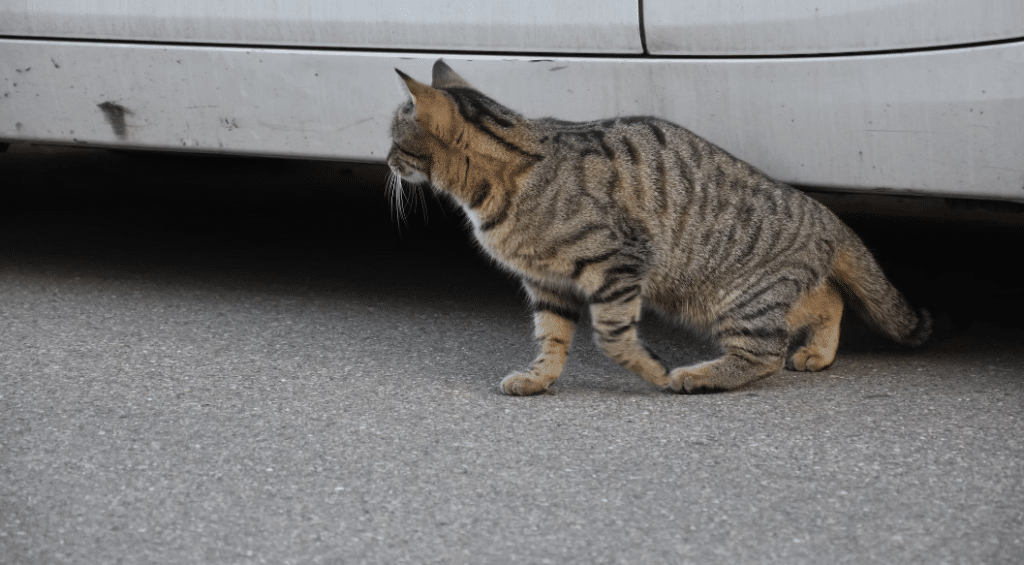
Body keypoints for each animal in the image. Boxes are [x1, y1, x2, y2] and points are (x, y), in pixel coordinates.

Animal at [385, 57, 929, 393]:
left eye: (393, 137)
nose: (385, 160)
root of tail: (826, 215)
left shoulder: (617, 260)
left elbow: (612, 335)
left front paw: (653, 371)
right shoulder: (545, 281)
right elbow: (551, 337)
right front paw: (540, 377)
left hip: (732, 297)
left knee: (766, 352)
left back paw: (701, 375)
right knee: (828, 300)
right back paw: (817, 351)